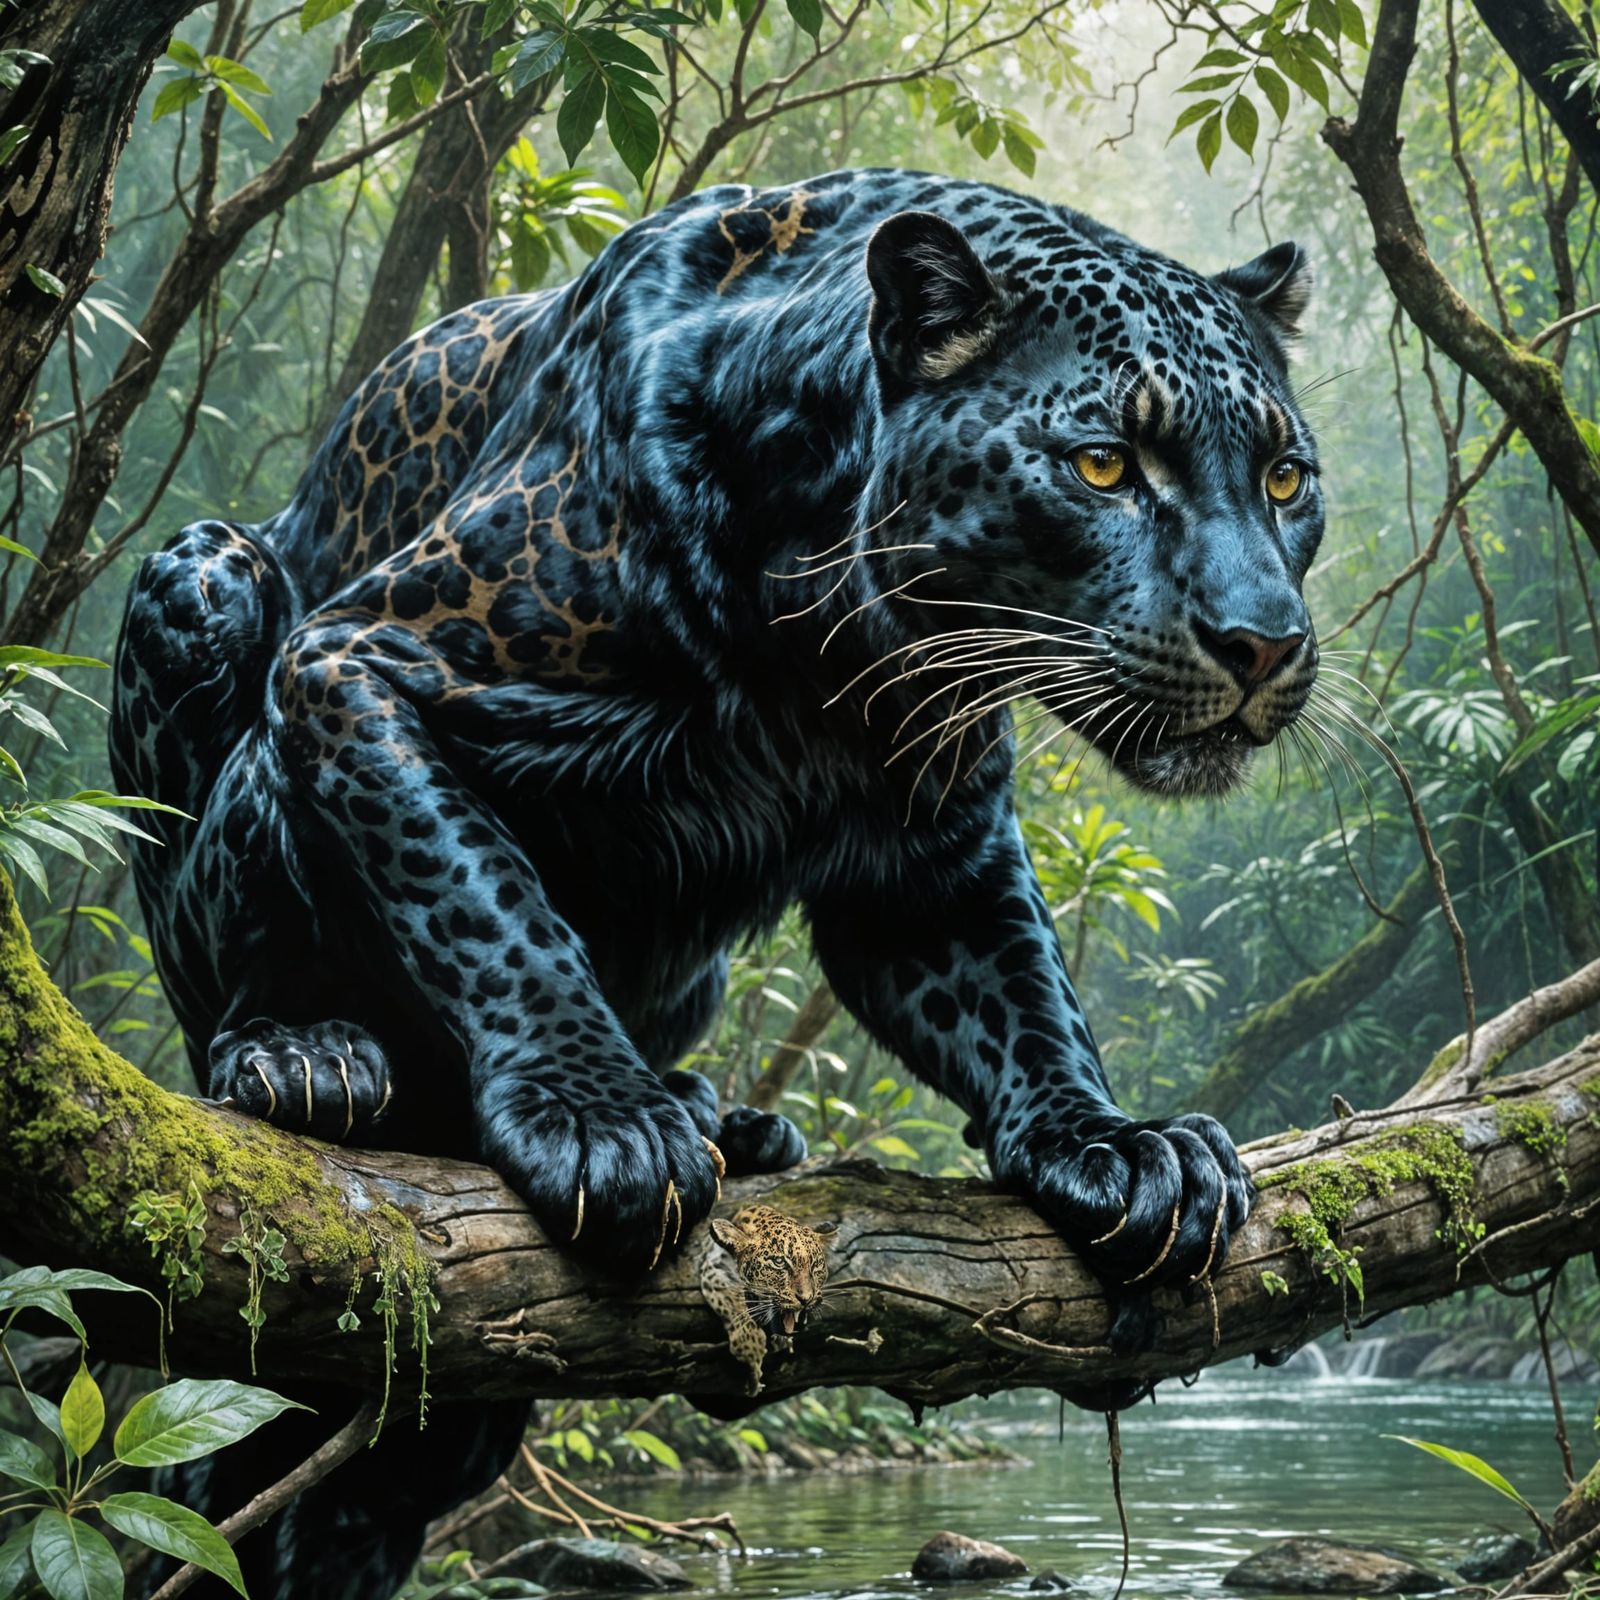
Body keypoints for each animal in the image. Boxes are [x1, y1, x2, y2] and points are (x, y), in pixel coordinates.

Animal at [110, 166, 1321, 1598]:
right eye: (1102, 465)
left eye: (1286, 476)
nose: (1266, 642)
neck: (830, 630)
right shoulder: (362, 659)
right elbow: (486, 902)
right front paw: (598, 1118)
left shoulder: (935, 846)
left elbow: (1018, 993)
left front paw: (1116, 1144)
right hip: (203, 576)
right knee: (218, 958)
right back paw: (310, 1059)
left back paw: (729, 1119)